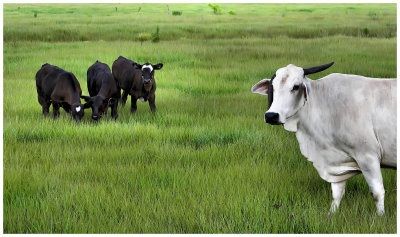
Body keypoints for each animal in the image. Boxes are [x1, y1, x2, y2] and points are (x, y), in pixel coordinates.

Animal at [252, 62, 396, 216]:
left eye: (296, 87)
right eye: (272, 87)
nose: (271, 115)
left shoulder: (368, 155)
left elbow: (377, 192)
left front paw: (380, 217)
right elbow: (337, 193)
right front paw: (331, 215)